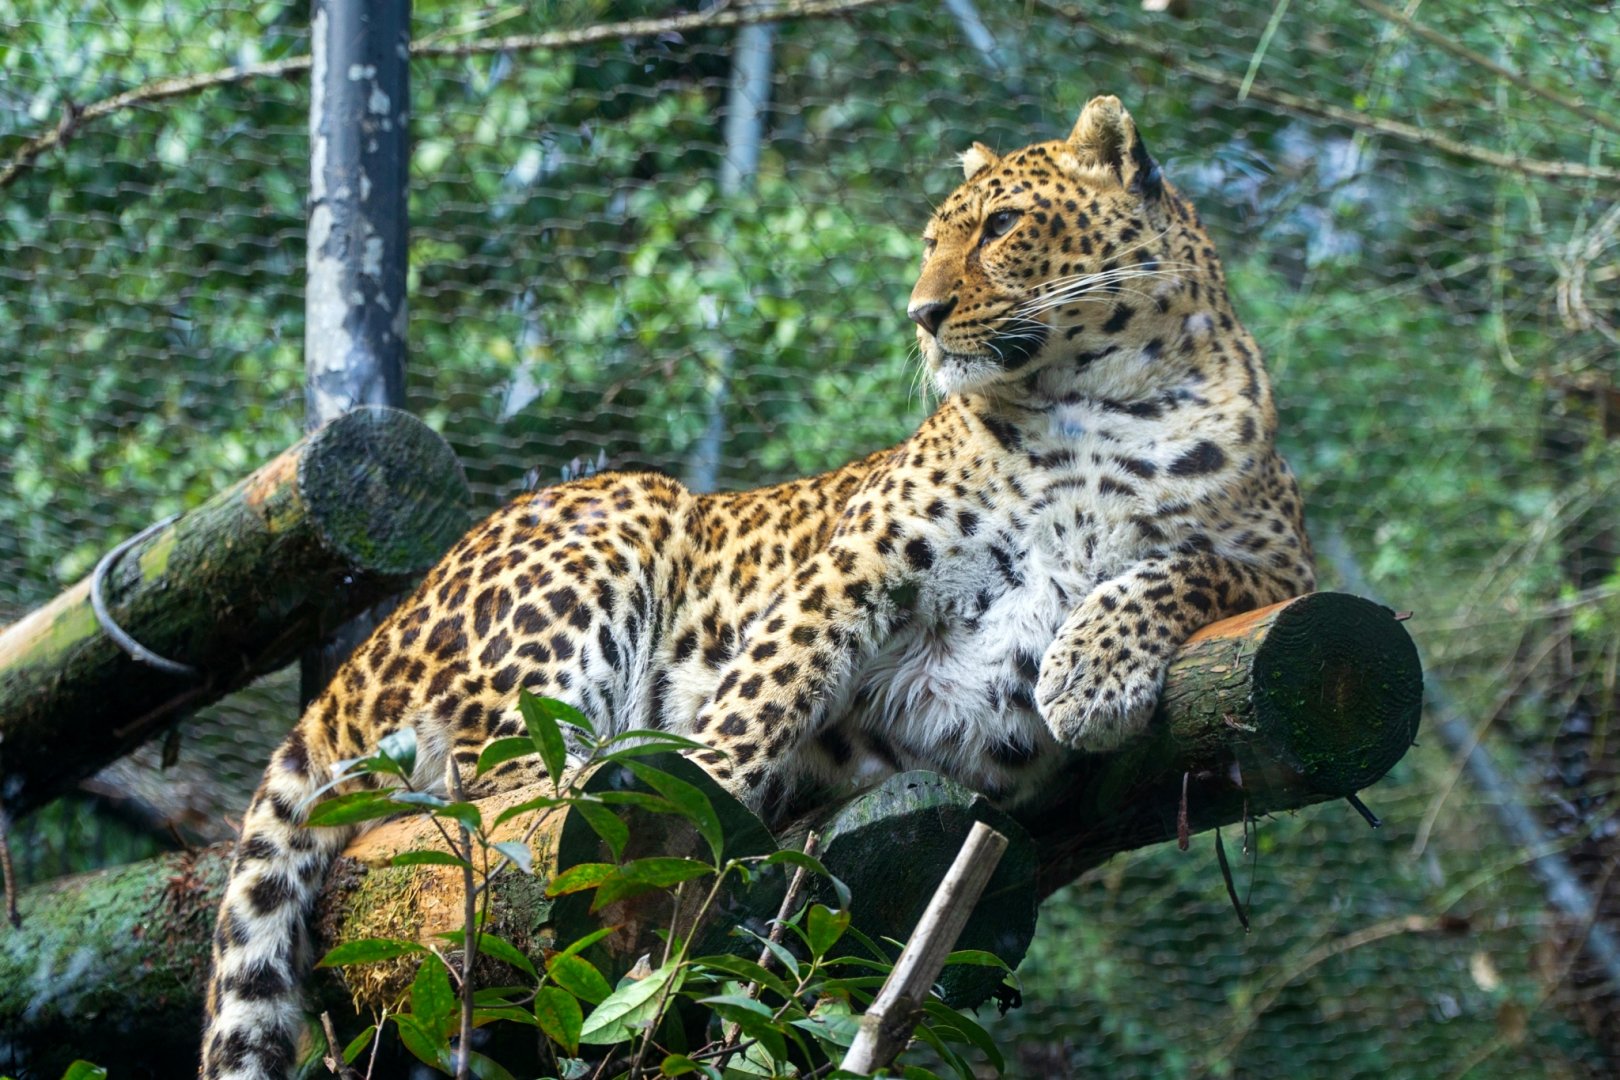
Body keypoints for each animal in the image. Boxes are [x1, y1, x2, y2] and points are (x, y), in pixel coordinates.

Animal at [200, 94, 1314, 1078]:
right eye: (934, 240)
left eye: (1004, 226)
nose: (922, 314)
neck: (1098, 402)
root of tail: (348, 674)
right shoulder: (854, 566)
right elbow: (758, 702)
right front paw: (707, 813)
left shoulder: (1275, 562)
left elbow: (1181, 567)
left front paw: (1089, 671)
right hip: (618, 518)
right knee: (484, 794)